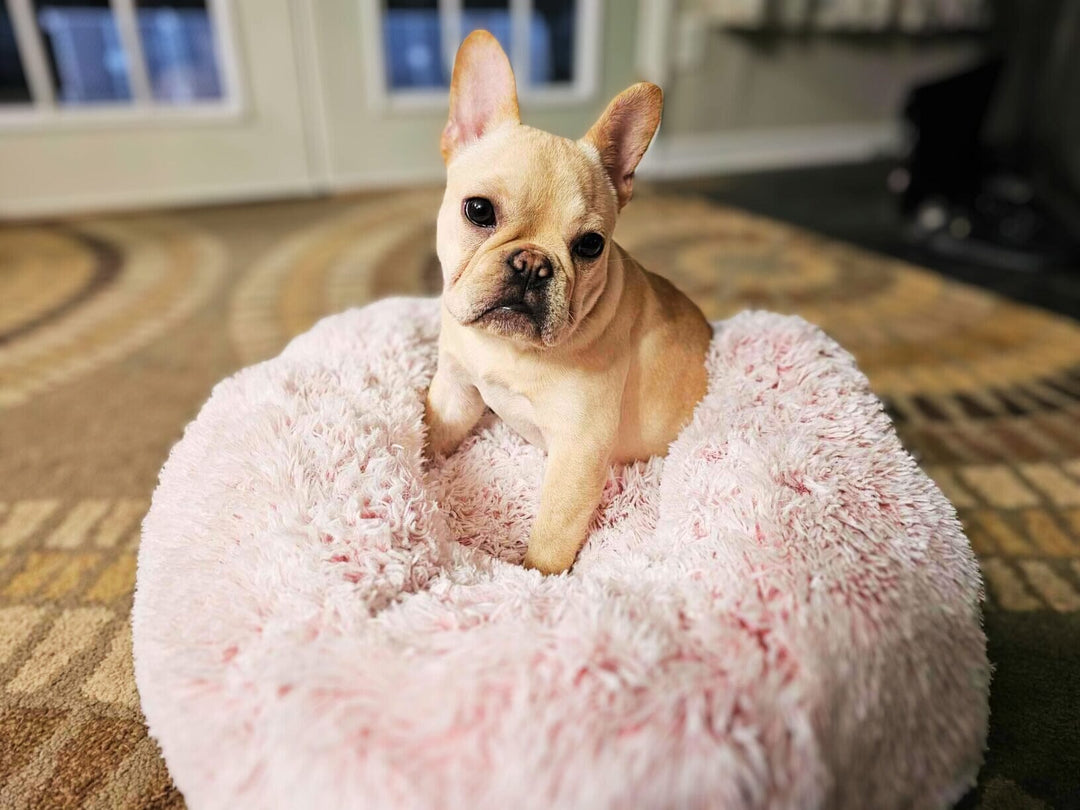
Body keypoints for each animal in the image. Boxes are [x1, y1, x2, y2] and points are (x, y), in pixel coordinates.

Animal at [423, 31, 717, 578]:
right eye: (478, 210)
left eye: (590, 246)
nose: (532, 264)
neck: (508, 350)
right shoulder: (455, 391)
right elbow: (433, 432)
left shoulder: (579, 451)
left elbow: (553, 535)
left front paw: (534, 582)